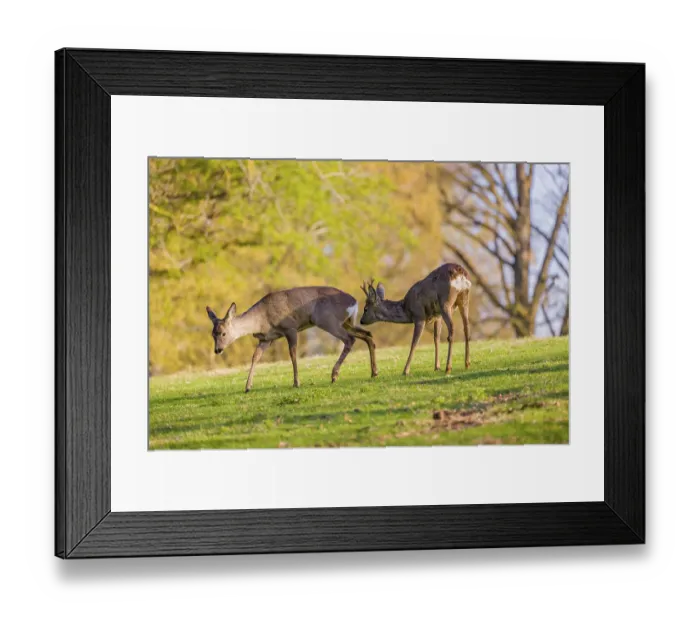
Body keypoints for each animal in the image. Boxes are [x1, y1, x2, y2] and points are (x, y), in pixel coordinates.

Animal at [206, 286, 378, 392]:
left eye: (223, 333)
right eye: (212, 334)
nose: (217, 350)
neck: (261, 319)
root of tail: (354, 302)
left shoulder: (290, 328)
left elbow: (293, 353)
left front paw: (296, 382)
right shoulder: (267, 338)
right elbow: (255, 357)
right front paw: (248, 387)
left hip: (327, 320)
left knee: (349, 339)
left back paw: (334, 375)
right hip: (347, 322)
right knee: (368, 335)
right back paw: (374, 372)